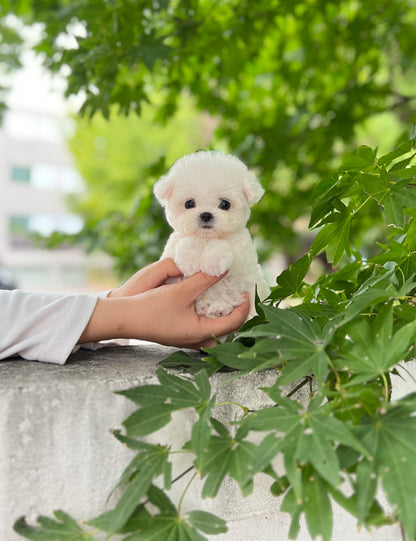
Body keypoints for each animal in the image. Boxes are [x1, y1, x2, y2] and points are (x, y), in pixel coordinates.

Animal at [154, 150, 268, 318]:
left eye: (225, 204)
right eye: (189, 203)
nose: (206, 215)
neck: (207, 237)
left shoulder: (243, 253)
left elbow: (222, 245)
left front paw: (214, 263)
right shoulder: (171, 249)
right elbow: (188, 241)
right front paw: (189, 260)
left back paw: (219, 308)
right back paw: (207, 307)